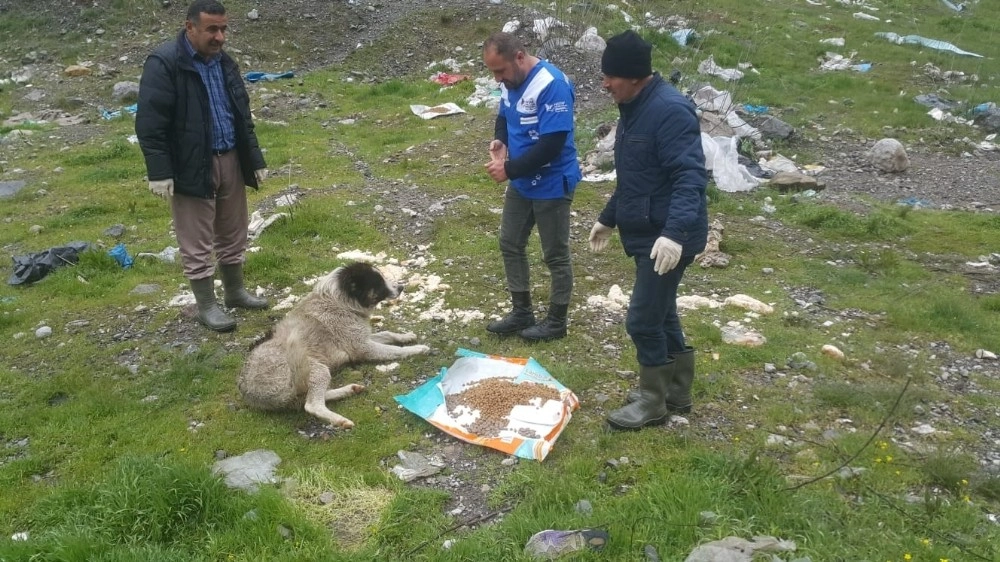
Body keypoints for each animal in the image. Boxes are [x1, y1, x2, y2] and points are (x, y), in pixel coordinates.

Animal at [242, 260, 434, 426]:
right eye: (379, 282)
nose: (401, 287)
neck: (340, 301)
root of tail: (251, 393)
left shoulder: (363, 338)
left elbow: (388, 334)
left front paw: (406, 336)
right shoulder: (364, 348)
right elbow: (396, 350)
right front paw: (418, 349)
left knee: (309, 399)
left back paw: (350, 390)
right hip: (317, 370)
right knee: (311, 405)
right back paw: (340, 420)